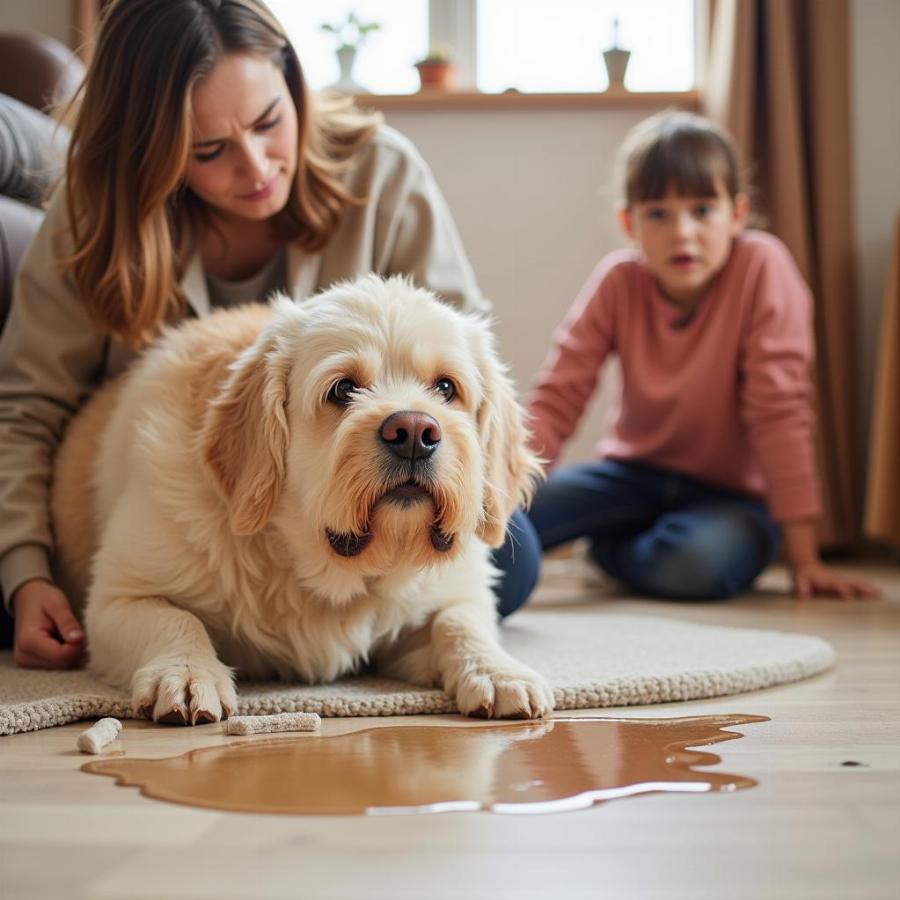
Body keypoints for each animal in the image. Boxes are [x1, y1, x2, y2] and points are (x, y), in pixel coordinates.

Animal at [54, 274, 556, 724]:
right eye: (343, 388)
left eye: (446, 387)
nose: (414, 432)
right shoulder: (119, 600)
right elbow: (176, 621)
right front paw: (187, 673)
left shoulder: (451, 597)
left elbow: (459, 623)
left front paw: (498, 671)